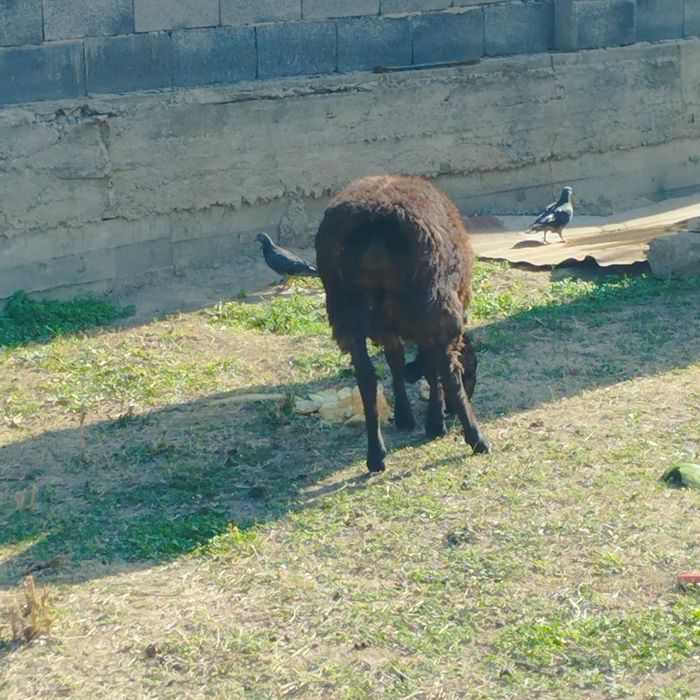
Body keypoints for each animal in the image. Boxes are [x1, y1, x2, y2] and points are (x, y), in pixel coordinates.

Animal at [315, 175, 490, 473]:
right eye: (474, 369)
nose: (450, 414)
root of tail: (376, 216)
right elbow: (431, 368)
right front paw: (435, 423)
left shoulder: (389, 328)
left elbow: (395, 361)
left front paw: (405, 417)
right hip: (435, 302)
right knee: (447, 370)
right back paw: (476, 438)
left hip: (344, 310)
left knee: (366, 378)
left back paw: (376, 455)